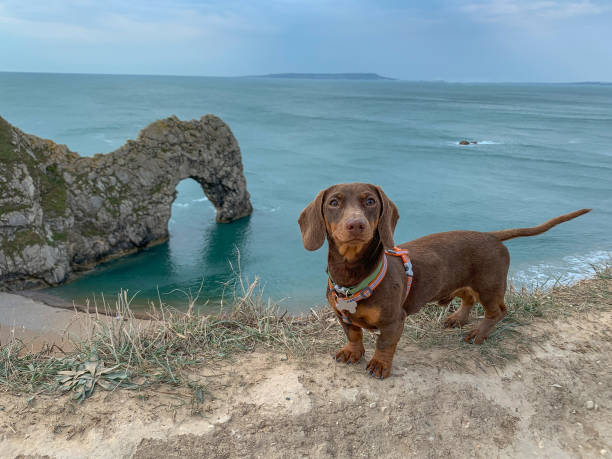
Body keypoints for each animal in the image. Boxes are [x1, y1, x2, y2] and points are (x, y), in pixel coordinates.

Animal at [298, 183, 592, 380]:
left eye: (370, 201)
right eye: (333, 203)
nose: (356, 225)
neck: (352, 279)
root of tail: (492, 236)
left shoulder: (395, 321)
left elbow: (384, 344)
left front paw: (380, 365)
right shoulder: (342, 316)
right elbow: (354, 334)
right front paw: (352, 352)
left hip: (489, 286)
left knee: (498, 311)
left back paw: (478, 333)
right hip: (461, 282)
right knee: (468, 298)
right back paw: (457, 318)